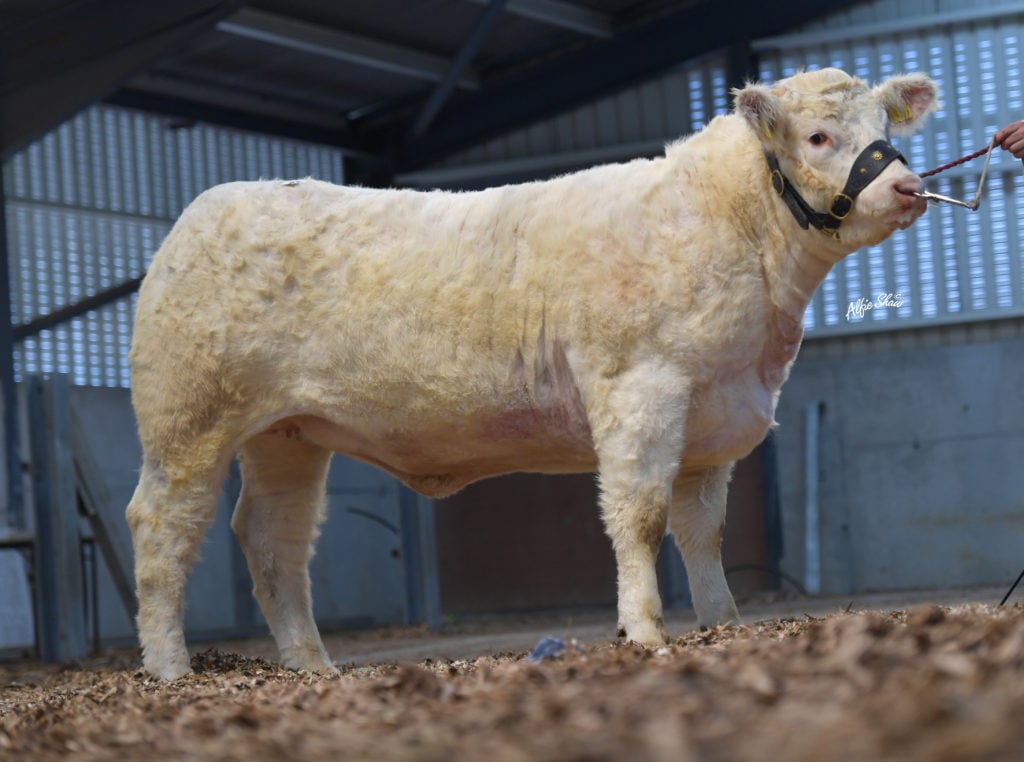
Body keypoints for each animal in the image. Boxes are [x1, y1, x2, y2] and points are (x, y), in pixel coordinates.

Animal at [126, 67, 938, 679]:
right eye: (819, 137)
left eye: (887, 127)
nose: (906, 187)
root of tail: (209, 207)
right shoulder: (639, 389)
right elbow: (639, 517)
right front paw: (644, 632)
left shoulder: (713, 416)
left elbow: (702, 533)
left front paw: (723, 623)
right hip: (188, 419)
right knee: (163, 528)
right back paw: (169, 668)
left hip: (287, 433)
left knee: (274, 538)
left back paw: (310, 665)